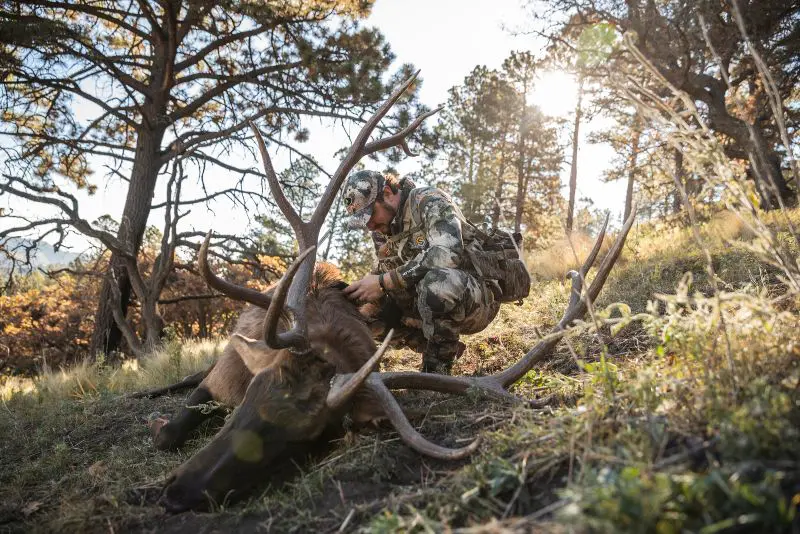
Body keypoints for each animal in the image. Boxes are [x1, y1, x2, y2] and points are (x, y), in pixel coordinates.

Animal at [146, 72, 638, 513]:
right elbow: (170, 428)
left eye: (312, 434)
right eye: (256, 392)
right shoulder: (222, 374)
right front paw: (160, 421)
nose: (176, 492)